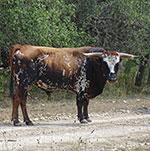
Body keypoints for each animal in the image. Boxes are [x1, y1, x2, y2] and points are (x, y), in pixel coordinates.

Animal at [9, 44, 138, 125]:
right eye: (104, 64)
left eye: (117, 64)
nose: (112, 78)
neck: (91, 63)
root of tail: (22, 47)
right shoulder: (81, 87)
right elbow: (80, 103)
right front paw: (82, 119)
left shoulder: (87, 89)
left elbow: (86, 103)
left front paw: (87, 117)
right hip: (23, 82)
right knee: (17, 98)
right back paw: (16, 121)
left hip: (27, 84)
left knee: (23, 100)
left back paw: (28, 121)